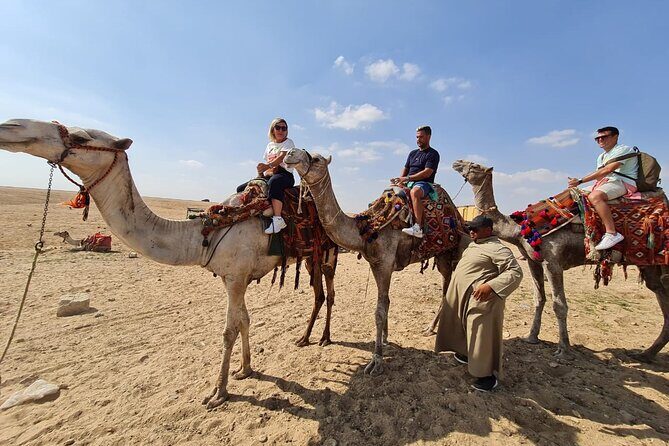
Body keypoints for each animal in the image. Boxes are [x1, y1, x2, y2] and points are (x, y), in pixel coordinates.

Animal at [0, 119, 337, 409]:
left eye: (81, 137)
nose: (11, 126)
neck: (205, 233)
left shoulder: (236, 277)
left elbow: (228, 331)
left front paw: (218, 393)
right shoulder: (233, 279)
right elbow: (244, 321)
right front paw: (245, 370)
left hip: (327, 253)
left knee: (328, 294)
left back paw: (321, 338)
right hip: (311, 257)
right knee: (320, 294)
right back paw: (309, 338)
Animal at [284, 149, 469, 376]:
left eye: (317, 159)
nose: (290, 153)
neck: (366, 229)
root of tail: (459, 217)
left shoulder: (385, 263)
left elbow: (379, 311)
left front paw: (376, 360)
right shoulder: (375, 263)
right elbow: (386, 304)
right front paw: (386, 340)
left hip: (456, 251)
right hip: (442, 257)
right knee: (446, 290)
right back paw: (431, 328)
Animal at [452, 159, 669, 361]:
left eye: (475, 165)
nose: (457, 162)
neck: (519, 229)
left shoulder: (553, 261)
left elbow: (559, 305)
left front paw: (564, 349)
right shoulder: (533, 261)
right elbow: (539, 298)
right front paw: (531, 337)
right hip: (650, 265)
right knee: (658, 290)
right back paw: (646, 354)